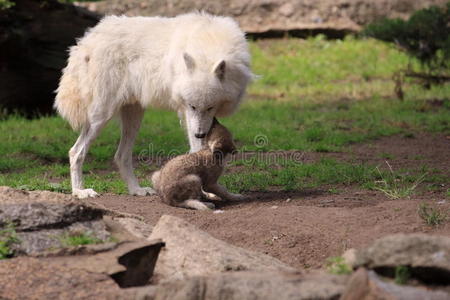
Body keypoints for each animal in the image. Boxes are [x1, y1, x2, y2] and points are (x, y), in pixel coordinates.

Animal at [54, 12, 251, 199]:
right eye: (192, 106)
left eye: (210, 107)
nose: (200, 134)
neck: (207, 45)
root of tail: (87, 40)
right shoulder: (187, 114)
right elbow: (197, 150)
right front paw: (205, 190)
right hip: (101, 117)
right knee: (76, 152)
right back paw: (80, 191)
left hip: (134, 116)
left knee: (121, 156)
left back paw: (136, 190)